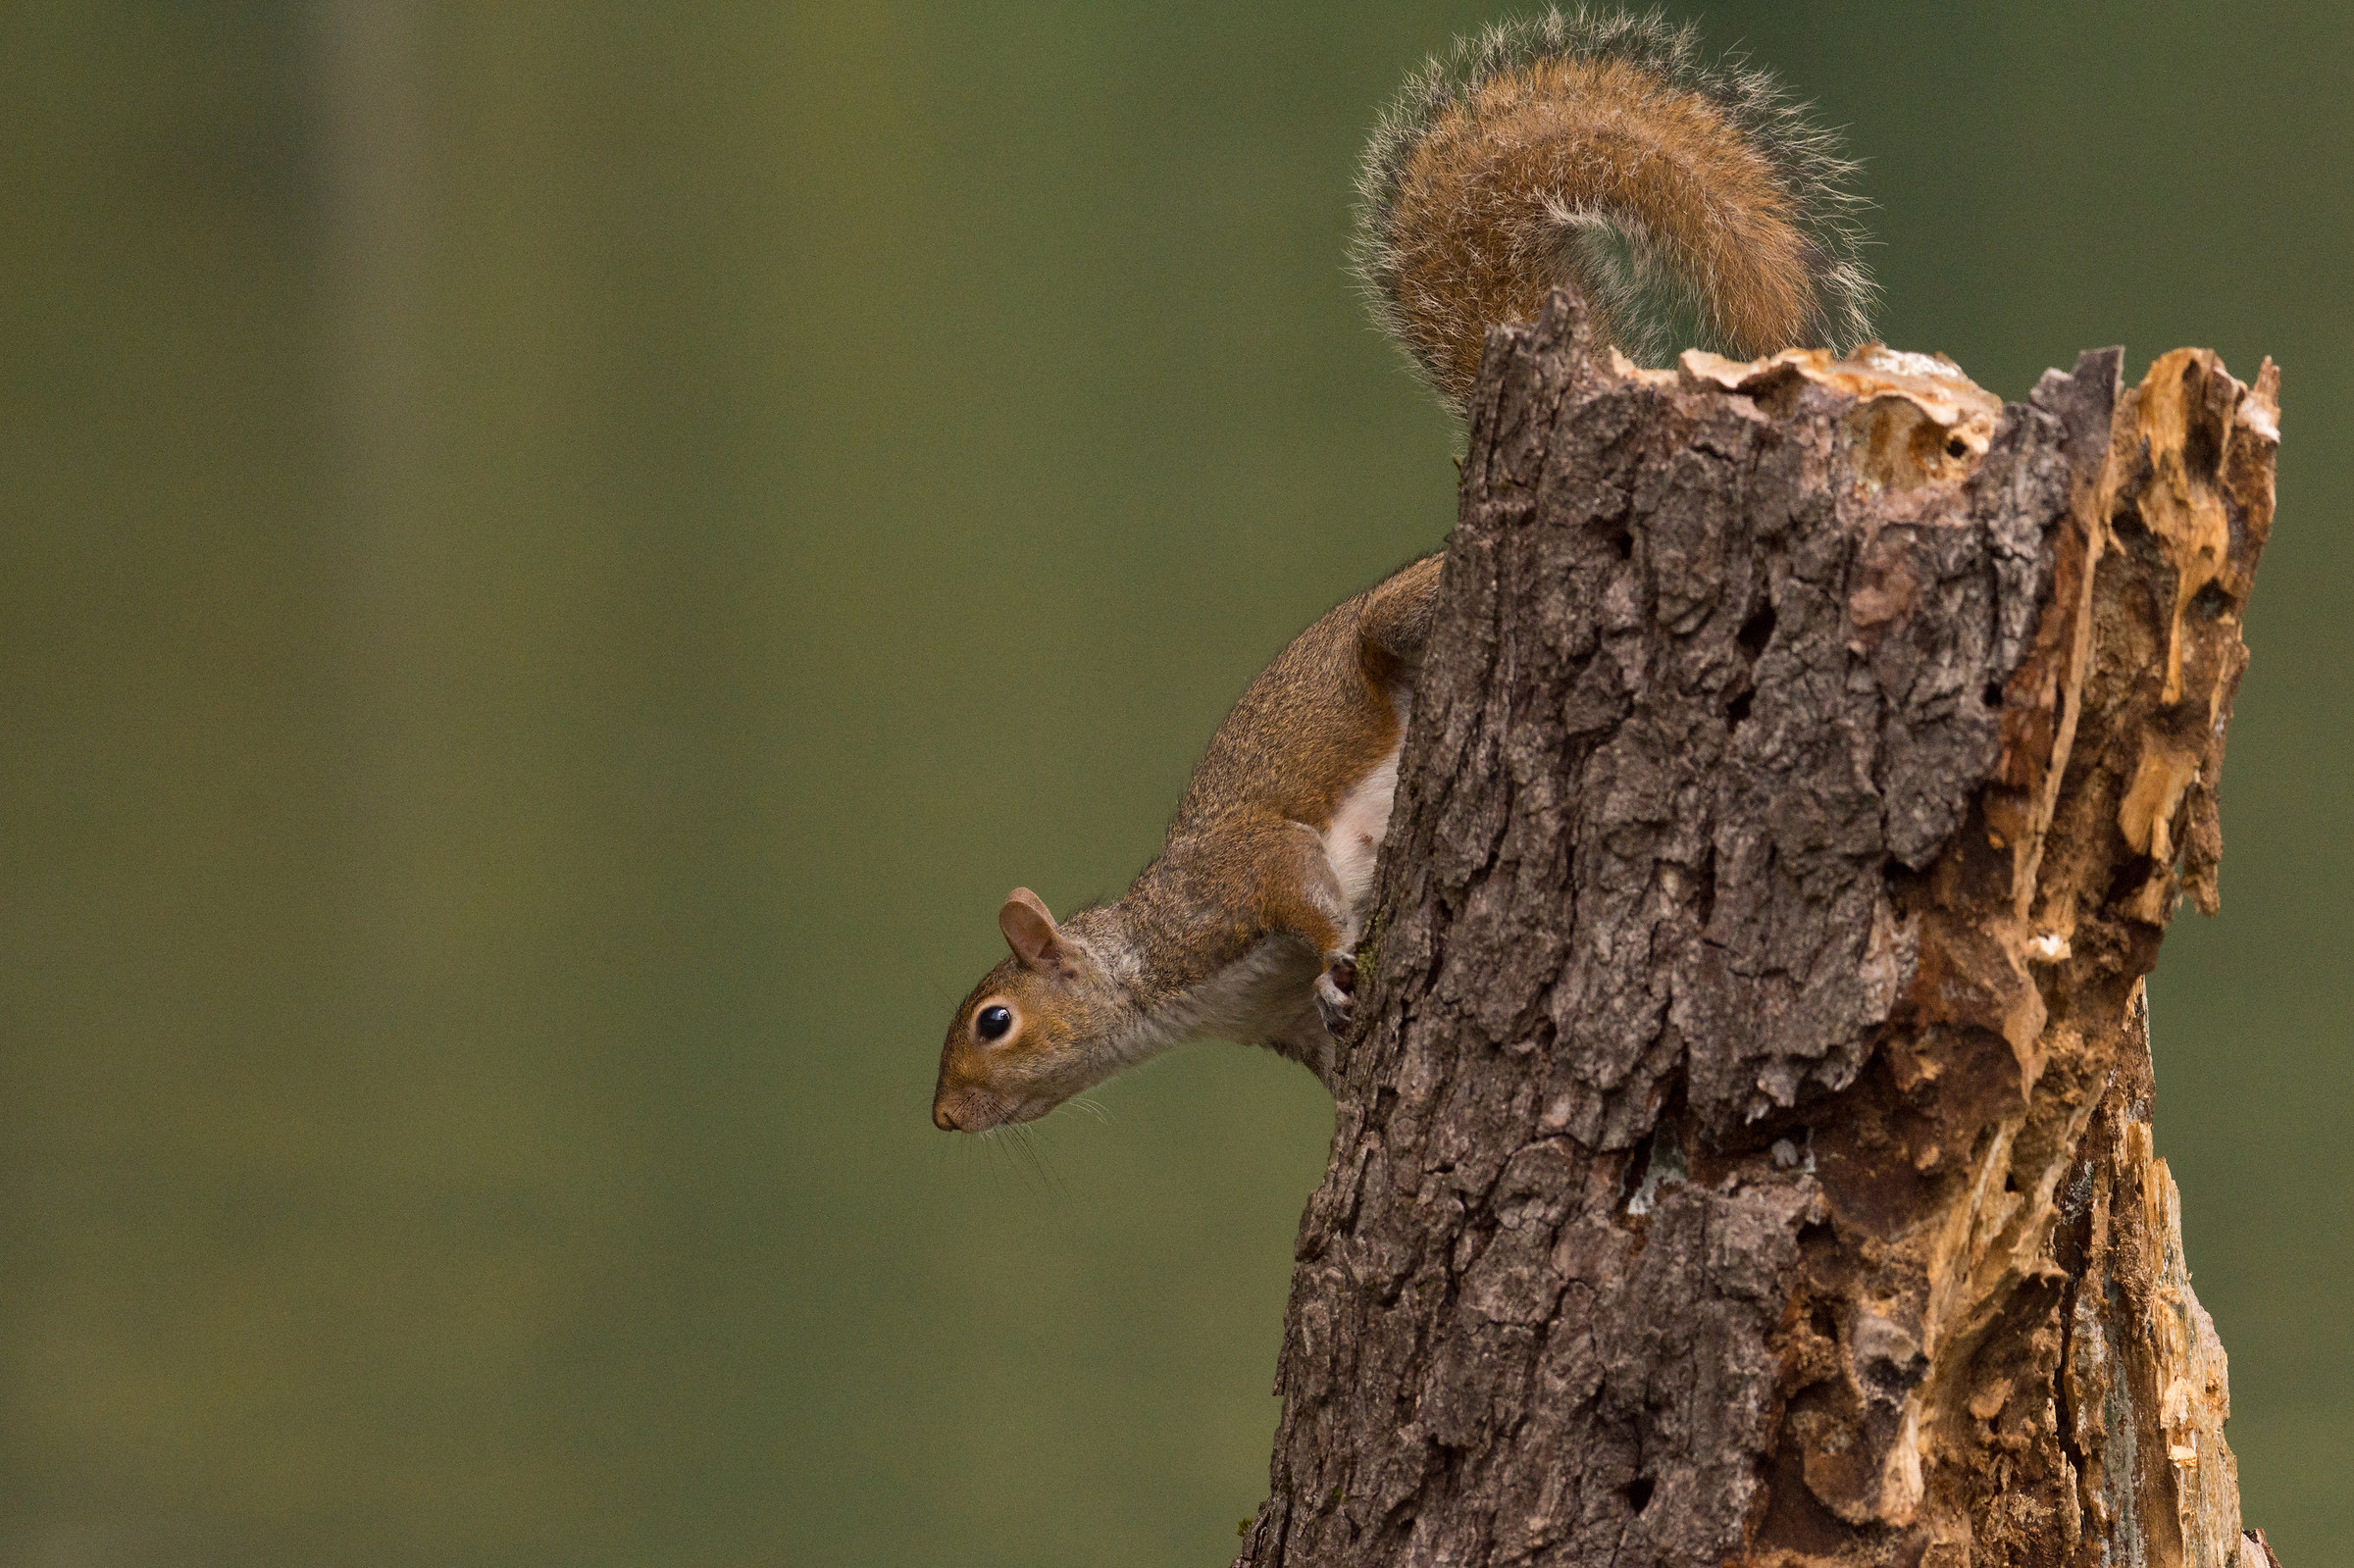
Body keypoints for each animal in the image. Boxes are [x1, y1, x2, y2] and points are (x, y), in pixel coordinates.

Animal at [932, 9, 1876, 1134]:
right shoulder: (1272, 1009)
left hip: (1393, 621)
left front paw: (1344, 948)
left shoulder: (1233, 885)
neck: (1154, 974)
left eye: (994, 1021)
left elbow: (1299, 886)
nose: (944, 1119)